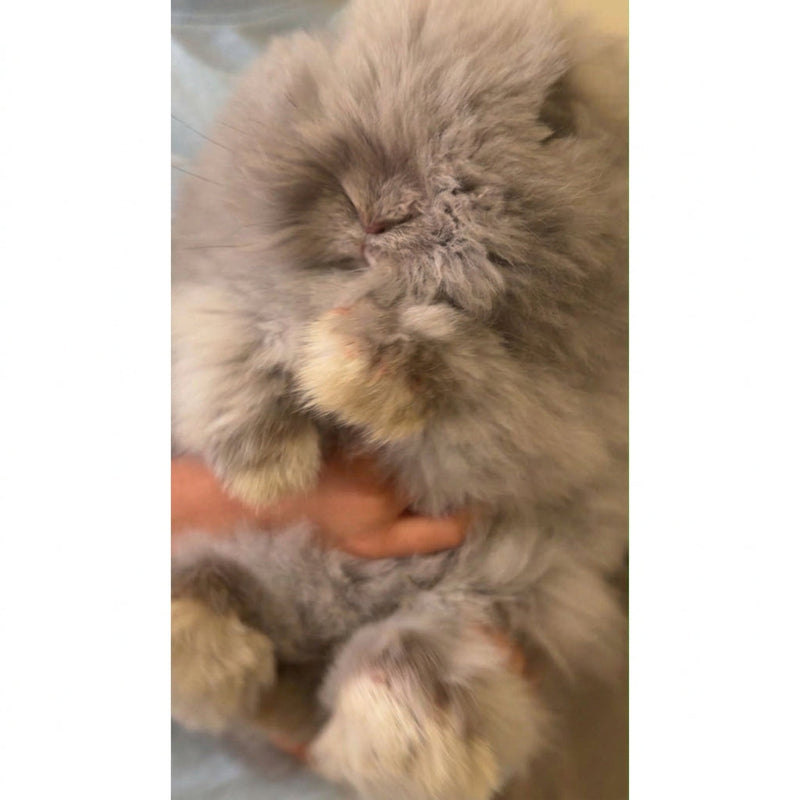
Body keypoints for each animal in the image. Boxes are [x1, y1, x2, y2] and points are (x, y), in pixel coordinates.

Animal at [171, 1, 628, 798]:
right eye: (328, 80)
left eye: (555, 117)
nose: (373, 210)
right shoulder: (215, 306)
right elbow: (230, 341)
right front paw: (270, 469)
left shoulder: (551, 431)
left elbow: (460, 377)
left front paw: (345, 363)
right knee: (215, 585)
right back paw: (194, 638)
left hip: (491, 598)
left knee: (410, 665)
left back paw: (397, 748)